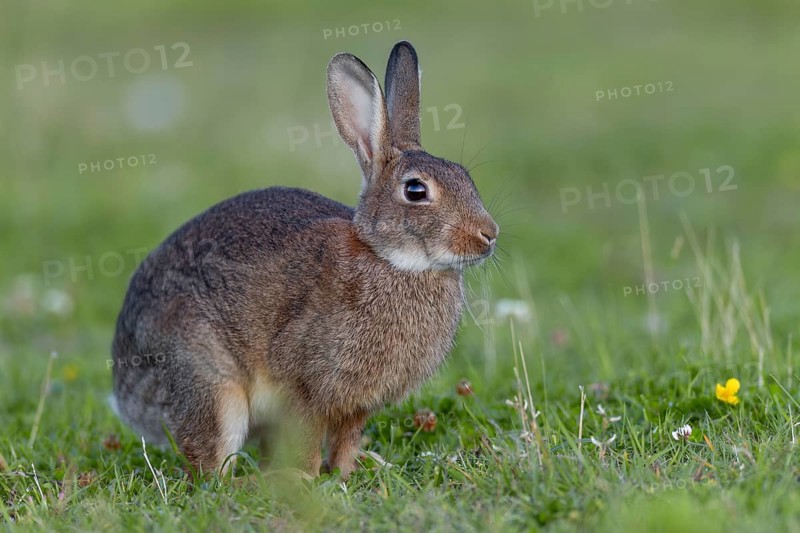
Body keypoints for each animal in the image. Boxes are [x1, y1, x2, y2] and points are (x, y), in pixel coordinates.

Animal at [111, 41, 499, 478]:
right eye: (416, 191)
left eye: (465, 176)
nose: (488, 235)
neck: (389, 259)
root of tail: (127, 394)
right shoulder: (306, 388)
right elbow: (309, 438)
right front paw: (307, 478)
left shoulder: (356, 406)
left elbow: (346, 440)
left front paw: (348, 472)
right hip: (209, 383)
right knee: (210, 464)